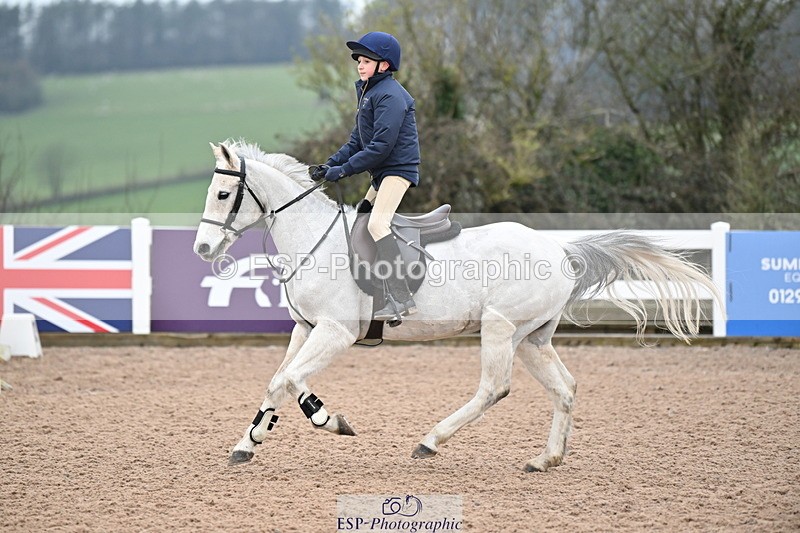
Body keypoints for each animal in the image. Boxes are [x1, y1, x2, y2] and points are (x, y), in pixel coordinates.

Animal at [193, 140, 721, 471]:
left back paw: (430, 441)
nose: (202, 249)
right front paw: (248, 443)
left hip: (500, 327)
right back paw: (545, 459)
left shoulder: (335, 332)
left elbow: (292, 379)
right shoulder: (305, 329)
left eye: (223, 193)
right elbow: (277, 380)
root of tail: (559, 249)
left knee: (494, 387)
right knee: (564, 388)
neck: (312, 239)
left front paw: (330, 420)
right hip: (531, 338)